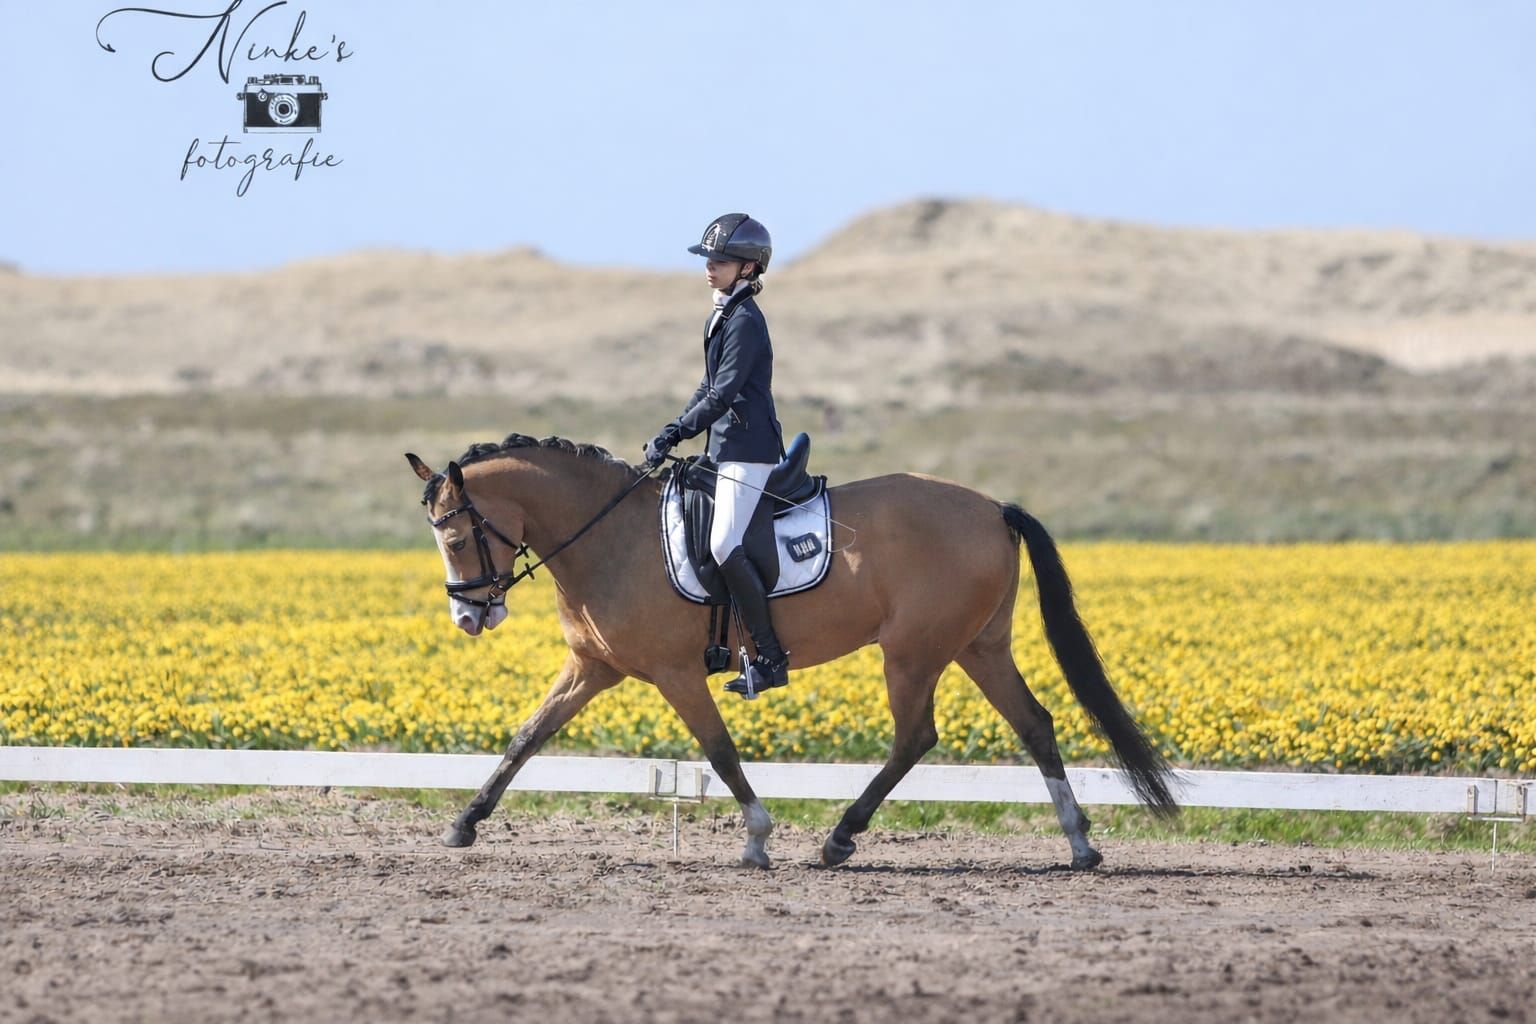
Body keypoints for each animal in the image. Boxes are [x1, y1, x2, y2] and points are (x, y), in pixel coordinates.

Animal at [406, 434, 1178, 870]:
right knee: (1034, 724)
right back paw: (1080, 845)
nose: (469, 615)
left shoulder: (675, 673)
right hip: (978, 647)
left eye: (456, 535)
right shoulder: (592, 668)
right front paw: (464, 824)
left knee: (916, 736)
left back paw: (839, 839)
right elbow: (526, 738)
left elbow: (718, 751)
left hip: (913, 652)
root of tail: (994, 508)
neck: (609, 536)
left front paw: (756, 837)